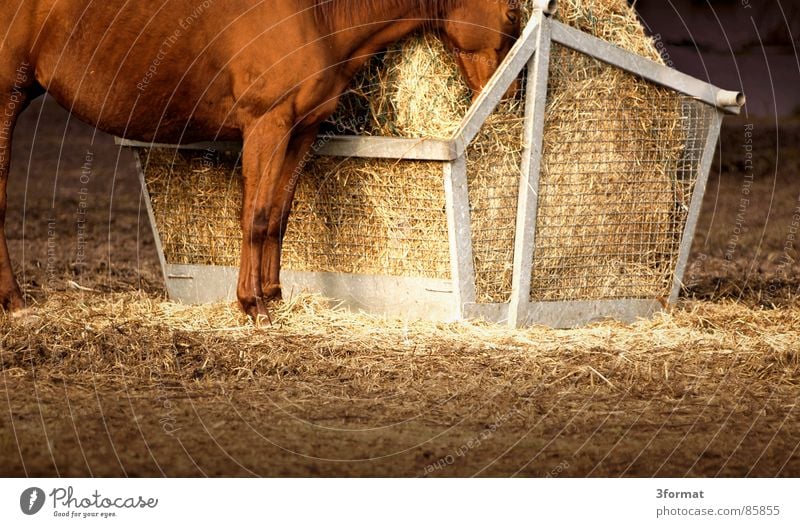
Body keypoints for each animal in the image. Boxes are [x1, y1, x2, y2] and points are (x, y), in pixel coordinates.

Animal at [0, 0, 520, 318]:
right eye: (511, 10)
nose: (513, 96)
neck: (318, 16)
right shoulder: (267, 127)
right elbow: (254, 216)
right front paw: (253, 305)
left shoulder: (299, 131)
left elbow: (278, 218)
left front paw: (273, 295)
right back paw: (15, 301)